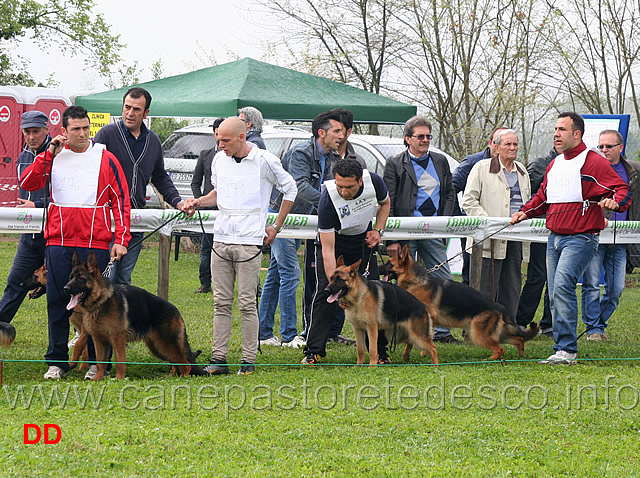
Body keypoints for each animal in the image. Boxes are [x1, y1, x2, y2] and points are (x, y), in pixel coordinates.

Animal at [62, 252, 205, 380]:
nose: (65, 289)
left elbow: (120, 362)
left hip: (165, 344)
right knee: (176, 363)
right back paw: (171, 376)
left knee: (186, 365)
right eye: (70, 277)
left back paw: (182, 378)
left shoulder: (117, 340)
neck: (101, 301)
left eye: (80, 278)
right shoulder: (99, 340)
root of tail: (176, 311)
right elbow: (100, 363)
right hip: (157, 347)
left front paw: (119, 380)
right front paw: (97, 379)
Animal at [382, 245, 536, 360]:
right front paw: (424, 353)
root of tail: (499, 307)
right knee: (519, 340)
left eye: (389, 264)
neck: (416, 281)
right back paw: (520, 356)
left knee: (500, 349)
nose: (377, 268)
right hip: (497, 334)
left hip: (478, 334)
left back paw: (487, 360)